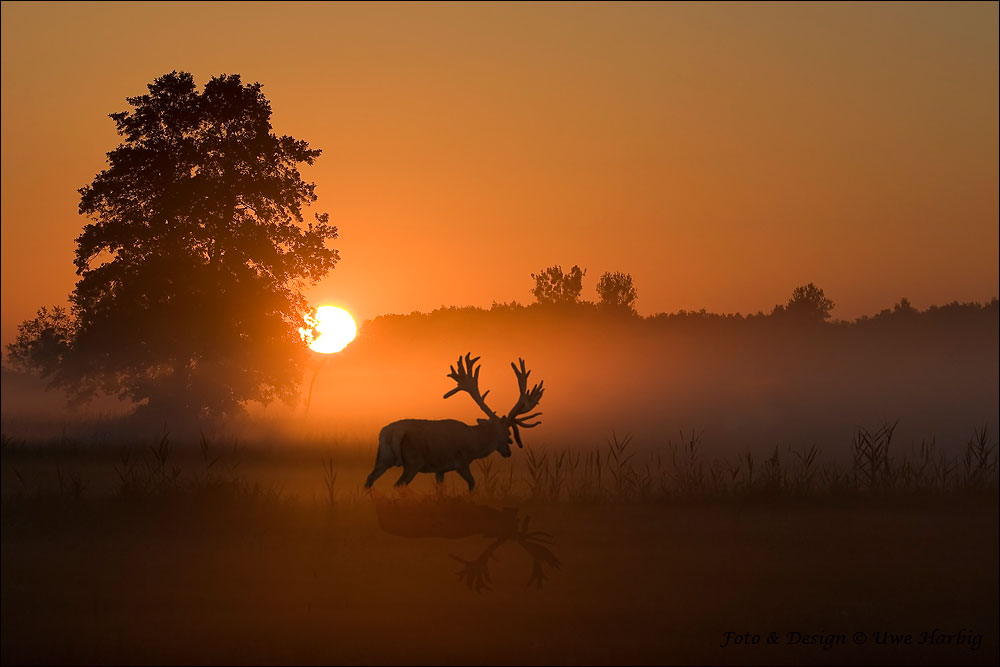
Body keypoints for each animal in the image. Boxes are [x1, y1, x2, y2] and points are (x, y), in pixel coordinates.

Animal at [364, 354, 544, 490]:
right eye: (506, 433)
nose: (508, 452)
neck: (474, 445)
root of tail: (392, 432)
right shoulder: (460, 462)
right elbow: (472, 483)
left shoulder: (440, 469)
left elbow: (440, 489)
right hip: (412, 462)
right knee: (397, 485)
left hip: (383, 457)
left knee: (369, 478)